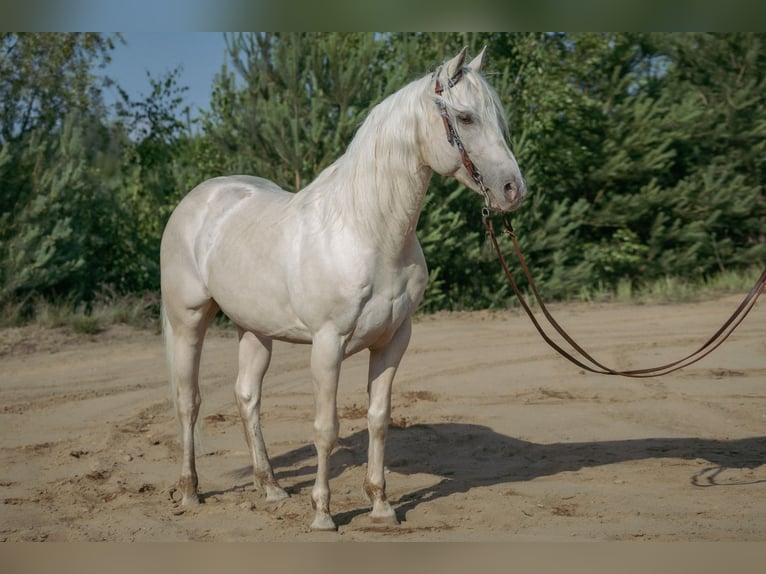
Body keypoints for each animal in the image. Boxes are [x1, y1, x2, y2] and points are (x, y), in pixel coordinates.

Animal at [160, 46, 526, 531]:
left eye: (497, 118)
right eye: (465, 117)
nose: (513, 189)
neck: (367, 231)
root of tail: (198, 199)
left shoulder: (394, 341)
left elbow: (378, 419)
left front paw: (382, 505)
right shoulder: (327, 345)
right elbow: (325, 428)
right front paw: (323, 514)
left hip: (254, 329)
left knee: (247, 396)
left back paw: (271, 488)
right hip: (187, 320)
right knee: (188, 401)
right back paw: (189, 492)